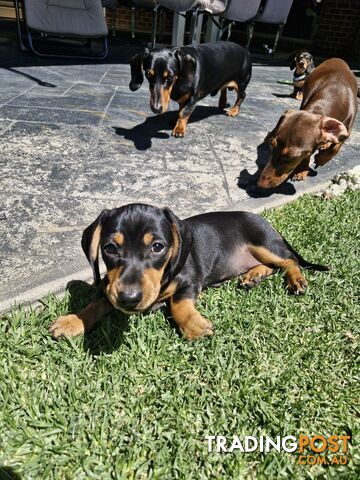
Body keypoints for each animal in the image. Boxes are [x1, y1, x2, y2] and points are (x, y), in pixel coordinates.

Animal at [50, 202, 330, 342]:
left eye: (158, 247)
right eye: (109, 248)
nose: (129, 299)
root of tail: (268, 223)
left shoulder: (189, 282)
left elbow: (178, 304)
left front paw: (194, 326)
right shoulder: (110, 285)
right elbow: (97, 302)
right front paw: (72, 321)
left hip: (265, 244)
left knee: (289, 261)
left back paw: (296, 280)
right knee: (272, 266)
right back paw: (253, 276)